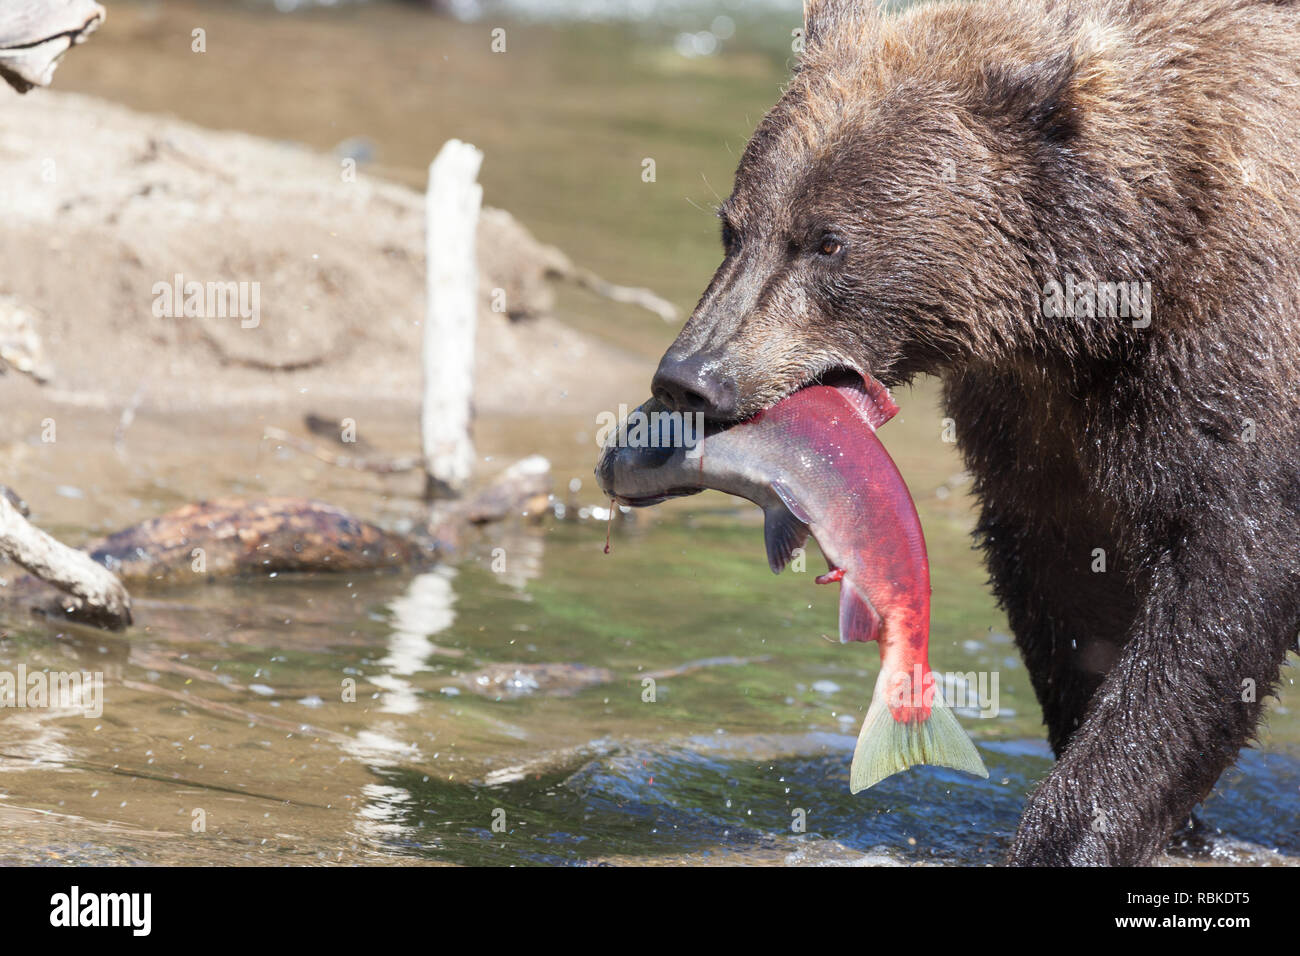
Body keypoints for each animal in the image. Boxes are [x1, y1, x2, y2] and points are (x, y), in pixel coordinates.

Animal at [650, 0, 1300, 868]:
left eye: (827, 240)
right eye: (733, 228)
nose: (690, 374)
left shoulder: (1229, 346)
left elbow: (1223, 580)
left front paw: (1067, 830)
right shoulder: (1038, 415)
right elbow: (1066, 578)